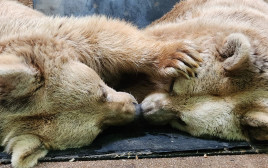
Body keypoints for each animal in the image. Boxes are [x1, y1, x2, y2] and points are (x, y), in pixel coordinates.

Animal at [0, 0, 201, 167]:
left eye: (101, 92)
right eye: (100, 127)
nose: (135, 108)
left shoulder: (40, 32)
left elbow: (102, 37)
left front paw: (179, 57)